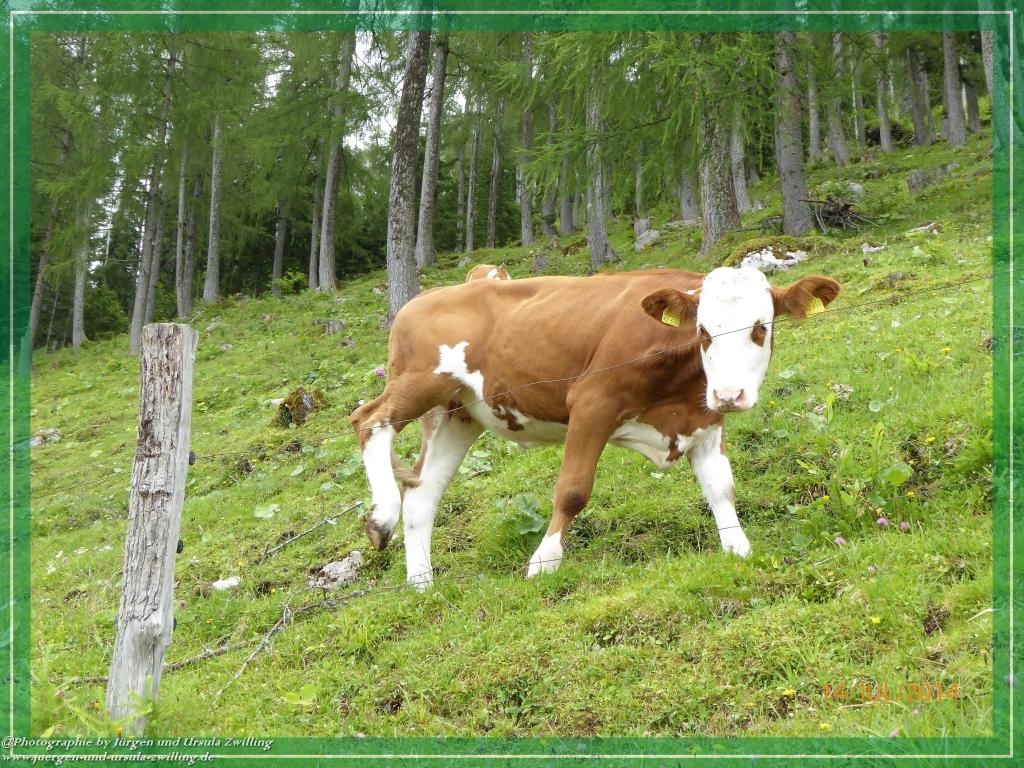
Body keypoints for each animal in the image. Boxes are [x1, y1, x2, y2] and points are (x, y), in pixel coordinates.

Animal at [350, 266, 840, 589]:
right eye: (703, 331)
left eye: (762, 328)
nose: (730, 394)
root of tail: (422, 299)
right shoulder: (591, 402)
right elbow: (572, 490)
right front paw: (544, 561)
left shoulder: (704, 420)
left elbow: (721, 489)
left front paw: (737, 547)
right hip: (420, 382)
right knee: (367, 421)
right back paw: (381, 517)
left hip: (458, 415)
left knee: (422, 496)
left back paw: (421, 584)